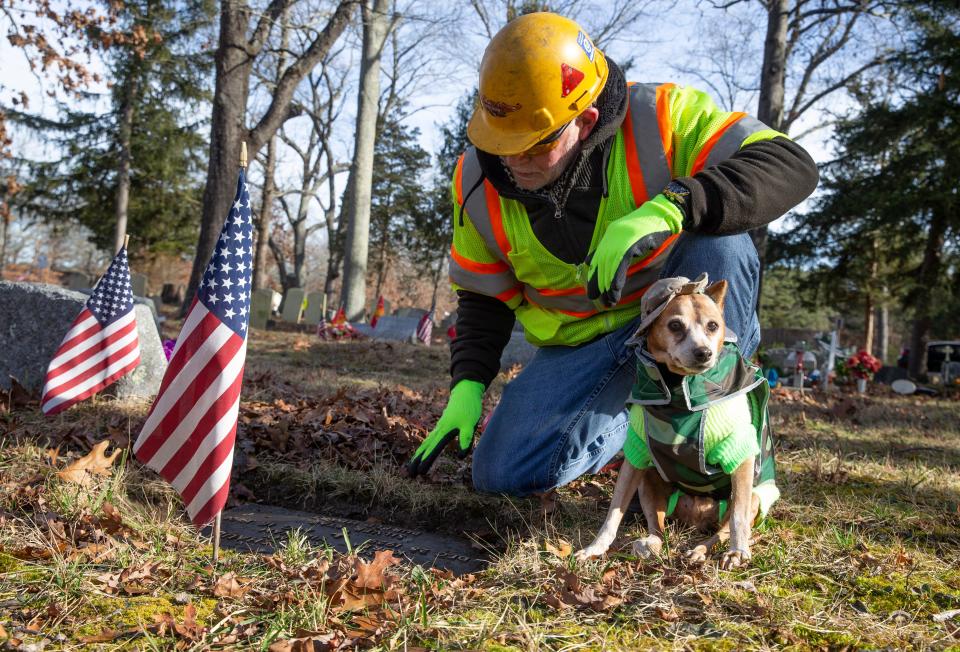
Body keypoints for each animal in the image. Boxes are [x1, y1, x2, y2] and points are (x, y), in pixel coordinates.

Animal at [572, 272, 776, 568]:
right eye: (675, 325)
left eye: (713, 326)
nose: (704, 352)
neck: (679, 388)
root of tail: (696, 517)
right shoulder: (635, 456)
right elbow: (613, 513)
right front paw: (595, 548)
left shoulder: (739, 455)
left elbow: (737, 518)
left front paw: (739, 551)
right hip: (648, 481)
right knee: (658, 529)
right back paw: (649, 545)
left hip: (753, 498)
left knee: (721, 532)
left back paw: (702, 550)